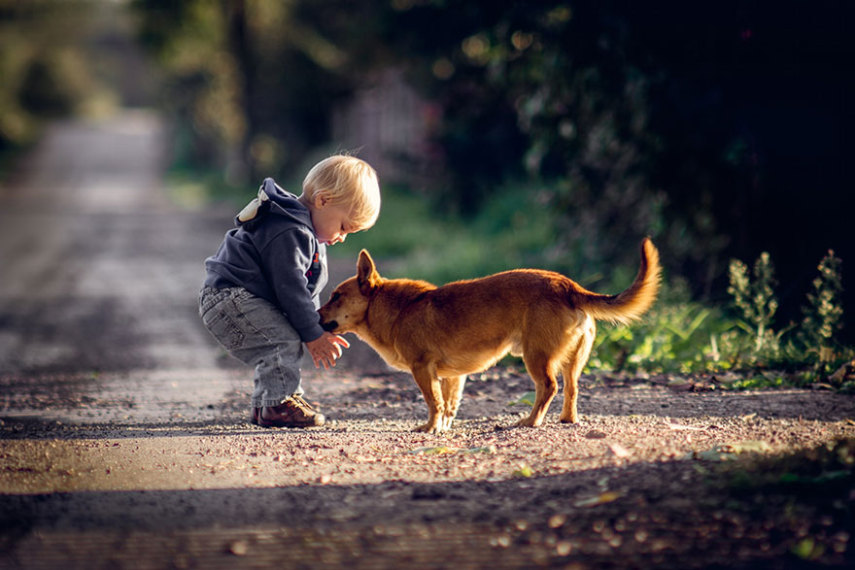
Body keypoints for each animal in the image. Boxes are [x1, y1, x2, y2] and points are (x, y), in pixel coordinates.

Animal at [320, 236, 664, 430]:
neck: (397, 308)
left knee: (548, 387)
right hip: (572, 361)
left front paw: (429, 429)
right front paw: (443, 429)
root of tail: (568, 286)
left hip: (535, 357)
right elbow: (449, 406)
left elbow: (434, 403)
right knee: (571, 389)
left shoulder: (423, 370)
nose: (316, 315)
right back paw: (567, 420)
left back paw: (531, 422)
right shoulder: (452, 377)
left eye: (335, 296)